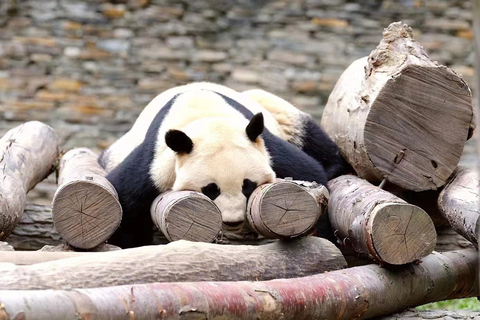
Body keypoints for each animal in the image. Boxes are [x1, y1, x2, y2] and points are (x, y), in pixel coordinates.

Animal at [99, 82, 350, 248]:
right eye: (210, 189)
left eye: (248, 185)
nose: (232, 221)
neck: (208, 118)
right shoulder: (155, 163)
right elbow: (125, 201)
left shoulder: (267, 148)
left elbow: (309, 173)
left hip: (273, 109)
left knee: (304, 129)